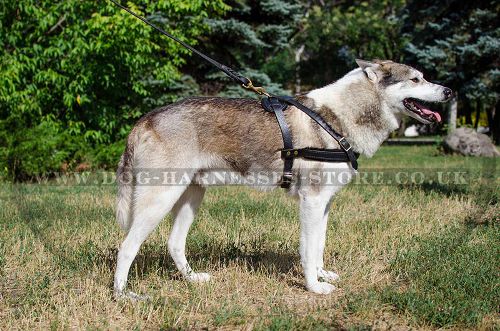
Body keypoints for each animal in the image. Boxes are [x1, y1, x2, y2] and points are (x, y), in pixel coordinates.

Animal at [114, 59, 454, 298]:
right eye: (416, 79)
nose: (450, 91)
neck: (339, 118)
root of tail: (144, 119)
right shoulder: (311, 202)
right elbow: (307, 250)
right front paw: (314, 288)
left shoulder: (325, 204)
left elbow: (319, 247)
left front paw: (322, 275)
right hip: (160, 199)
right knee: (126, 247)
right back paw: (123, 295)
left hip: (191, 196)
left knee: (174, 244)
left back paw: (192, 279)